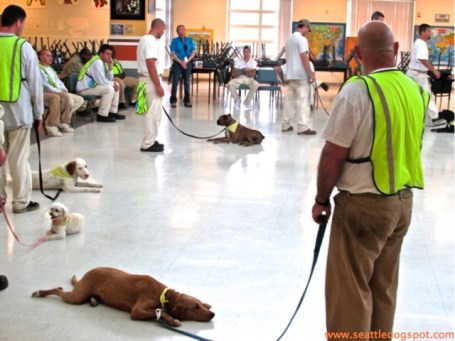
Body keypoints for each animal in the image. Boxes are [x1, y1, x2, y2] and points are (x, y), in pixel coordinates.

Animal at [31, 266, 216, 326]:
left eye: (199, 304)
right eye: (195, 307)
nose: (213, 314)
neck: (163, 295)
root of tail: (86, 274)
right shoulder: (137, 311)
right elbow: (160, 313)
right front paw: (171, 319)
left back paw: (93, 300)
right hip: (76, 297)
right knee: (58, 289)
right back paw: (40, 292)